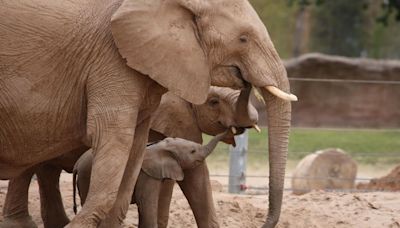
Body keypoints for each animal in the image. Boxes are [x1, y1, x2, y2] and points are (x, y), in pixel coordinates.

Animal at [72, 131, 228, 227]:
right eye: (193, 151)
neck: (159, 146)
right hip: (87, 176)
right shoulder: (147, 175)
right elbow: (145, 204)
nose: (231, 128)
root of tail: (77, 164)